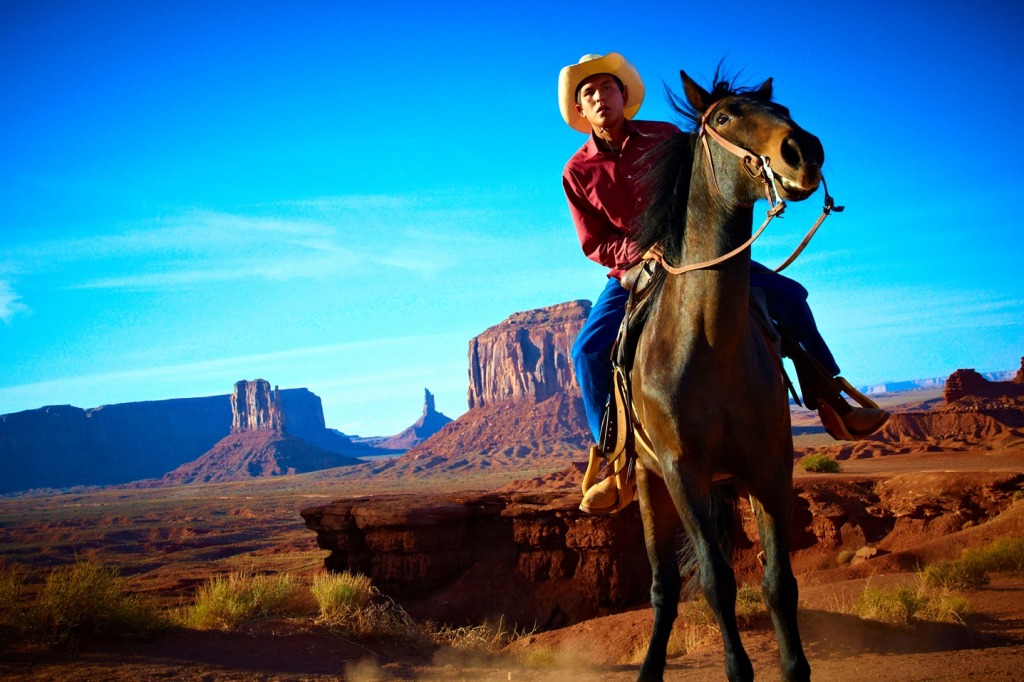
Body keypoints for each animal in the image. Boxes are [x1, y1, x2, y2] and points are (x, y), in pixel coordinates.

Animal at [626, 70, 819, 679]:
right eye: (725, 118)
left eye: (785, 109)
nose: (804, 151)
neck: (709, 343)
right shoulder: (681, 471)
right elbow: (715, 582)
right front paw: (738, 668)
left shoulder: (769, 464)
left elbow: (779, 583)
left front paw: (795, 667)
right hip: (649, 483)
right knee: (663, 588)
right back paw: (649, 668)